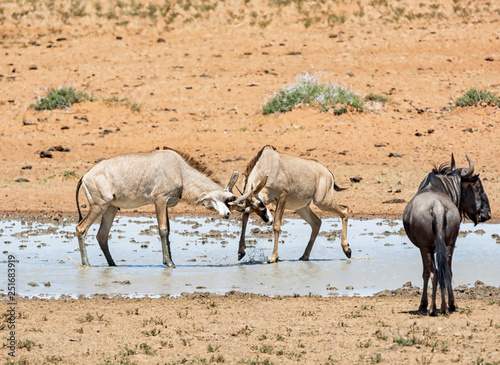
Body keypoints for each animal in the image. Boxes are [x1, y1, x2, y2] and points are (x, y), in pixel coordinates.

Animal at [76, 147, 248, 268]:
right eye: (229, 199)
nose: (227, 214)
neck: (179, 169)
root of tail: (85, 177)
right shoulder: (159, 199)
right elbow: (163, 230)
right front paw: (170, 263)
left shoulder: (166, 203)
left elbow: (168, 231)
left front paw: (169, 260)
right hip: (99, 206)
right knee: (81, 228)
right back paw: (87, 264)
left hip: (110, 208)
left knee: (102, 236)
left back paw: (113, 265)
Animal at [404, 155, 490, 314]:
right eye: (477, 187)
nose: (487, 214)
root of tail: (437, 206)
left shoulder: (423, 248)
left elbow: (425, 273)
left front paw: (423, 304)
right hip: (449, 244)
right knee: (446, 272)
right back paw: (448, 306)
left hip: (426, 248)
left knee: (435, 273)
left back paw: (432, 309)